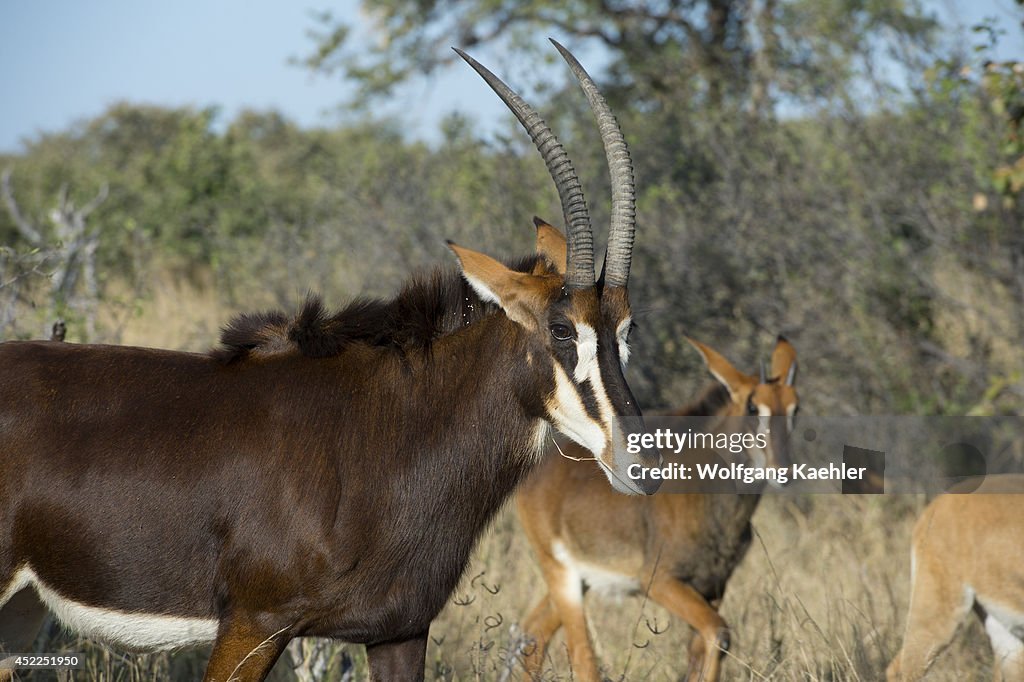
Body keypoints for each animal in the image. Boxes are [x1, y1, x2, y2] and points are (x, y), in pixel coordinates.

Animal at [0, 42, 663, 679]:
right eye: (560, 328)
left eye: (626, 327)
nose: (641, 464)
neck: (391, 430)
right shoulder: (254, 624)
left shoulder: (399, 630)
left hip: (22, 611)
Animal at [516, 333, 794, 679]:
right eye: (753, 406)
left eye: (794, 407)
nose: (782, 470)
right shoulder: (659, 580)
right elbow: (718, 633)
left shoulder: (713, 586)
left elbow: (701, 650)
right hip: (560, 571)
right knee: (580, 656)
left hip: (581, 579)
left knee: (533, 633)